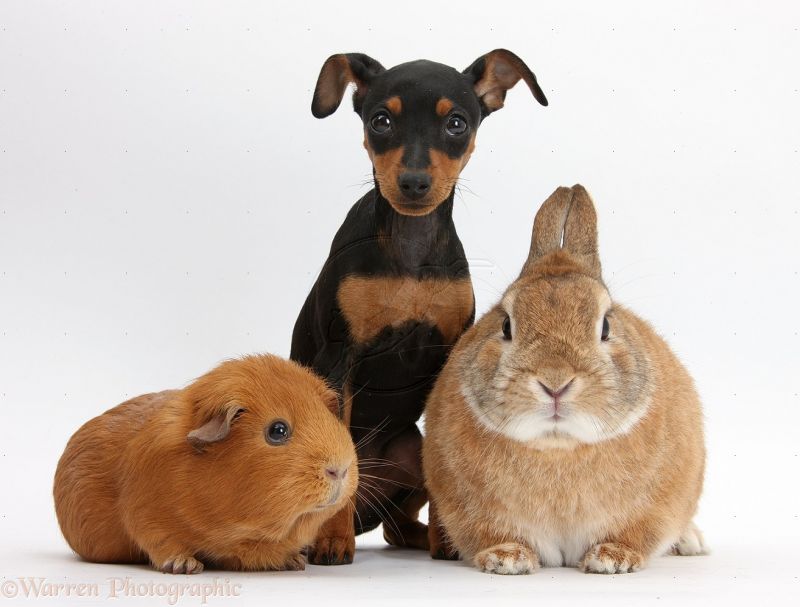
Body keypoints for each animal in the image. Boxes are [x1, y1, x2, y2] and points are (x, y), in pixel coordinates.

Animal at [53, 354, 357, 573]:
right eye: (278, 430)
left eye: (329, 418)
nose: (340, 470)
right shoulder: (145, 514)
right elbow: (162, 541)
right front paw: (185, 566)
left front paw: (293, 561)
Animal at [423, 185, 706, 575]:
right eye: (506, 325)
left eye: (606, 325)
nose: (555, 383)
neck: (558, 446)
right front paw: (507, 558)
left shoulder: (655, 511)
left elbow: (635, 535)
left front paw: (612, 559)